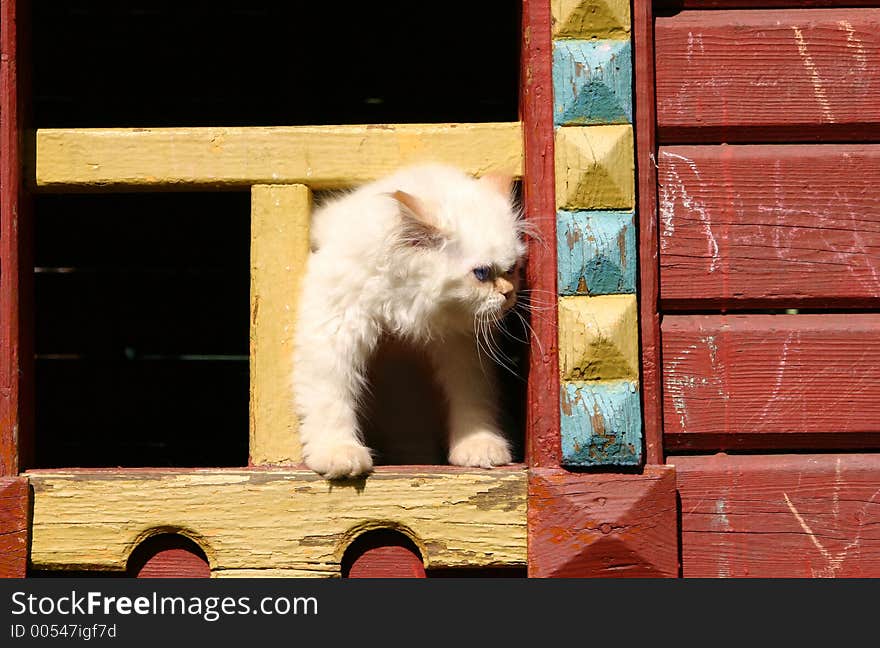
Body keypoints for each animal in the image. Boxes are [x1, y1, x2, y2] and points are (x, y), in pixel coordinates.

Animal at [292, 163, 524, 476]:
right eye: (482, 273)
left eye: (512, 269)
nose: (509, 294)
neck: (404, 311)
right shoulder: (335, 331)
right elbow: (331, 398)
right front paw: (339, 454)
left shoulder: (463, 352)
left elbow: (473, 398)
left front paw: (479, 447)